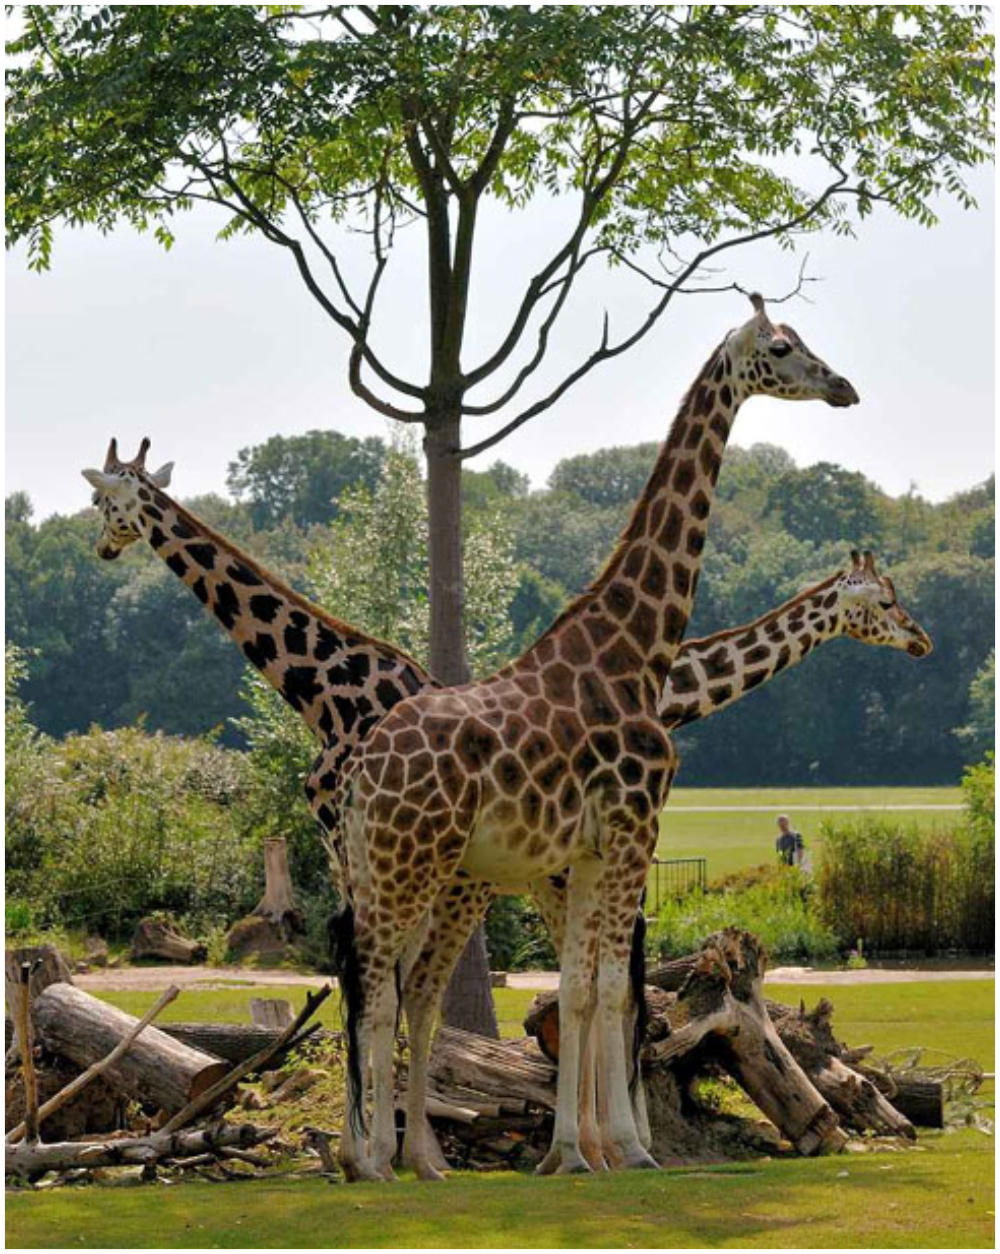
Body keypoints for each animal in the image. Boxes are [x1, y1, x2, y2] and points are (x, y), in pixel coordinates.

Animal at [327, 294, 859, 1182]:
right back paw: (375, 1163)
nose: (843, 387)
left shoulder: (586, 848)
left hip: (389, 866)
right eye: (783, 348)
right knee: (377, 992)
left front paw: (579, 1152)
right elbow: (612, 990)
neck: (635, 650)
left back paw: (392, 1158)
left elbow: (585, 989)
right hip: (413, 864)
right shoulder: (633, 826)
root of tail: (364, 766)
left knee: (384, 990)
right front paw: (620, 1153)